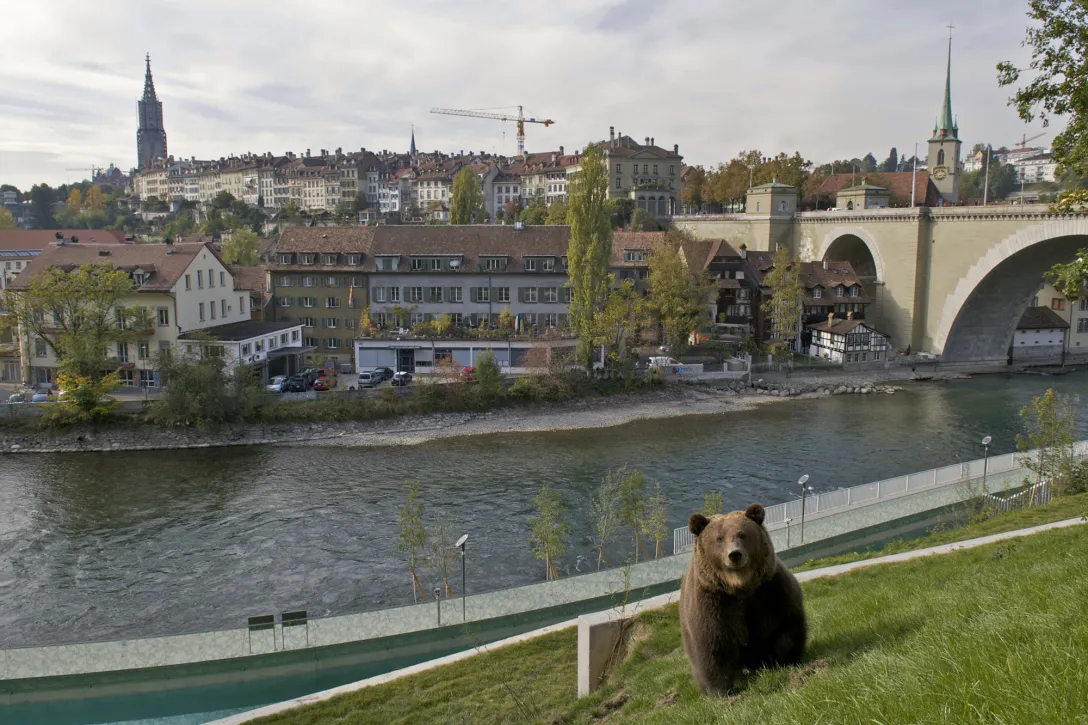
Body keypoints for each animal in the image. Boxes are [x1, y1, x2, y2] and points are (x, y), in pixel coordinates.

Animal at [678, 502, 807, 695]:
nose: (734, 554)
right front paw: (720, 690)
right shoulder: (713, 602)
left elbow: (785, 627)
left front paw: (786, 660)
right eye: (719, 538)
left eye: (742, 534)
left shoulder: (769, 591)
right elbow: (713, 646)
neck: (739, 586)